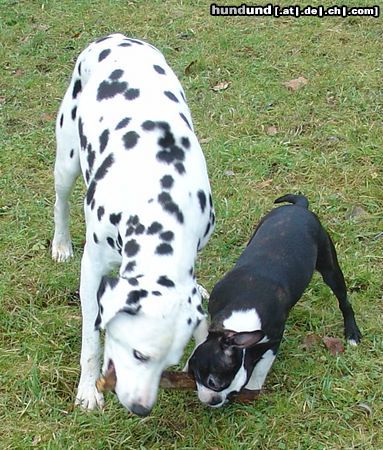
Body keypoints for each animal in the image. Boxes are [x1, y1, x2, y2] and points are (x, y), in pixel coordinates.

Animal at [189, 194, 364, 408]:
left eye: (233, 392)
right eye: (212, 381)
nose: (216, 401)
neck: (246, 310)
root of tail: (300, 208)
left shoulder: (273, 340)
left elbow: (262, 368)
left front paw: (253, 389)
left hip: (330, 267)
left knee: (344, 301)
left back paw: (352, 333)